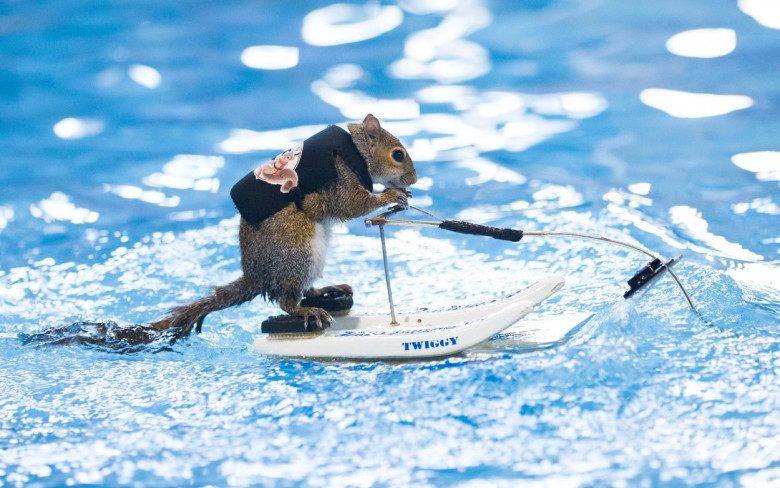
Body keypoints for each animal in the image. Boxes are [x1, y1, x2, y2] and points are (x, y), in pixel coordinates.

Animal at [146, 114, 414, 340]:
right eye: (398, 155)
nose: (414, 179)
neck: (354, 149)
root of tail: (257, 278)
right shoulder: (341, 178)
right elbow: (352, 206)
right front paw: (390, 194)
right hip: (298, 248)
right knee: (287, 302)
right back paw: (308, 311)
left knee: (306, 291)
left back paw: (327, 290)